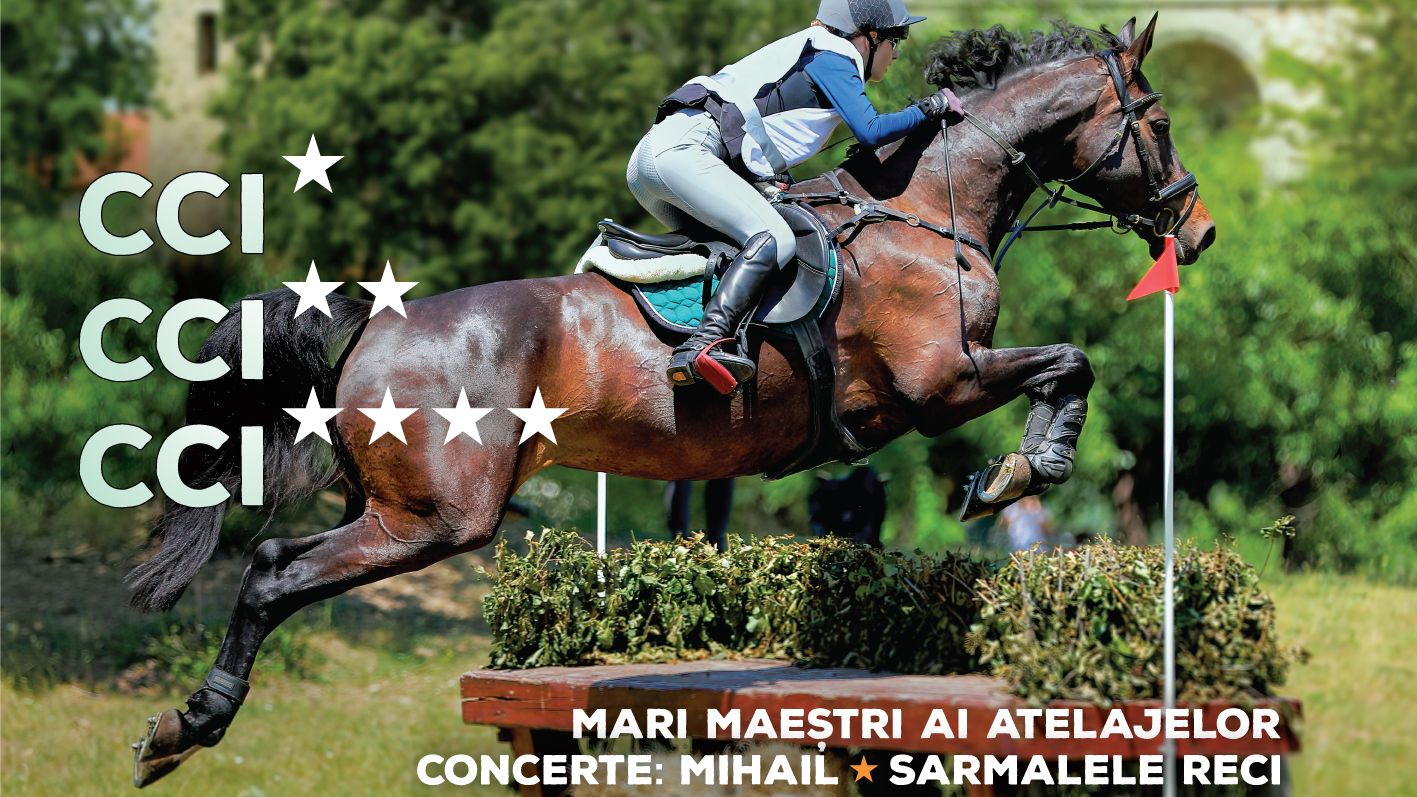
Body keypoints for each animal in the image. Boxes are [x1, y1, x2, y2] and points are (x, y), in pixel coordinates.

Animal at [129, 16, 1213, 785]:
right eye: (1157, 121)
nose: (1197, 229)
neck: (925, 206)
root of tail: (370, 320)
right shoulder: (937, 380)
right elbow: (1070, 361)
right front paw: (1019, 472)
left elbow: (1063, 366)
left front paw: (1017, 468)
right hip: (438, 515)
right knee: (274, 570)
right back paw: (190, 724)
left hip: (397, 506)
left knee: (275, 559)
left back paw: (185, 724)